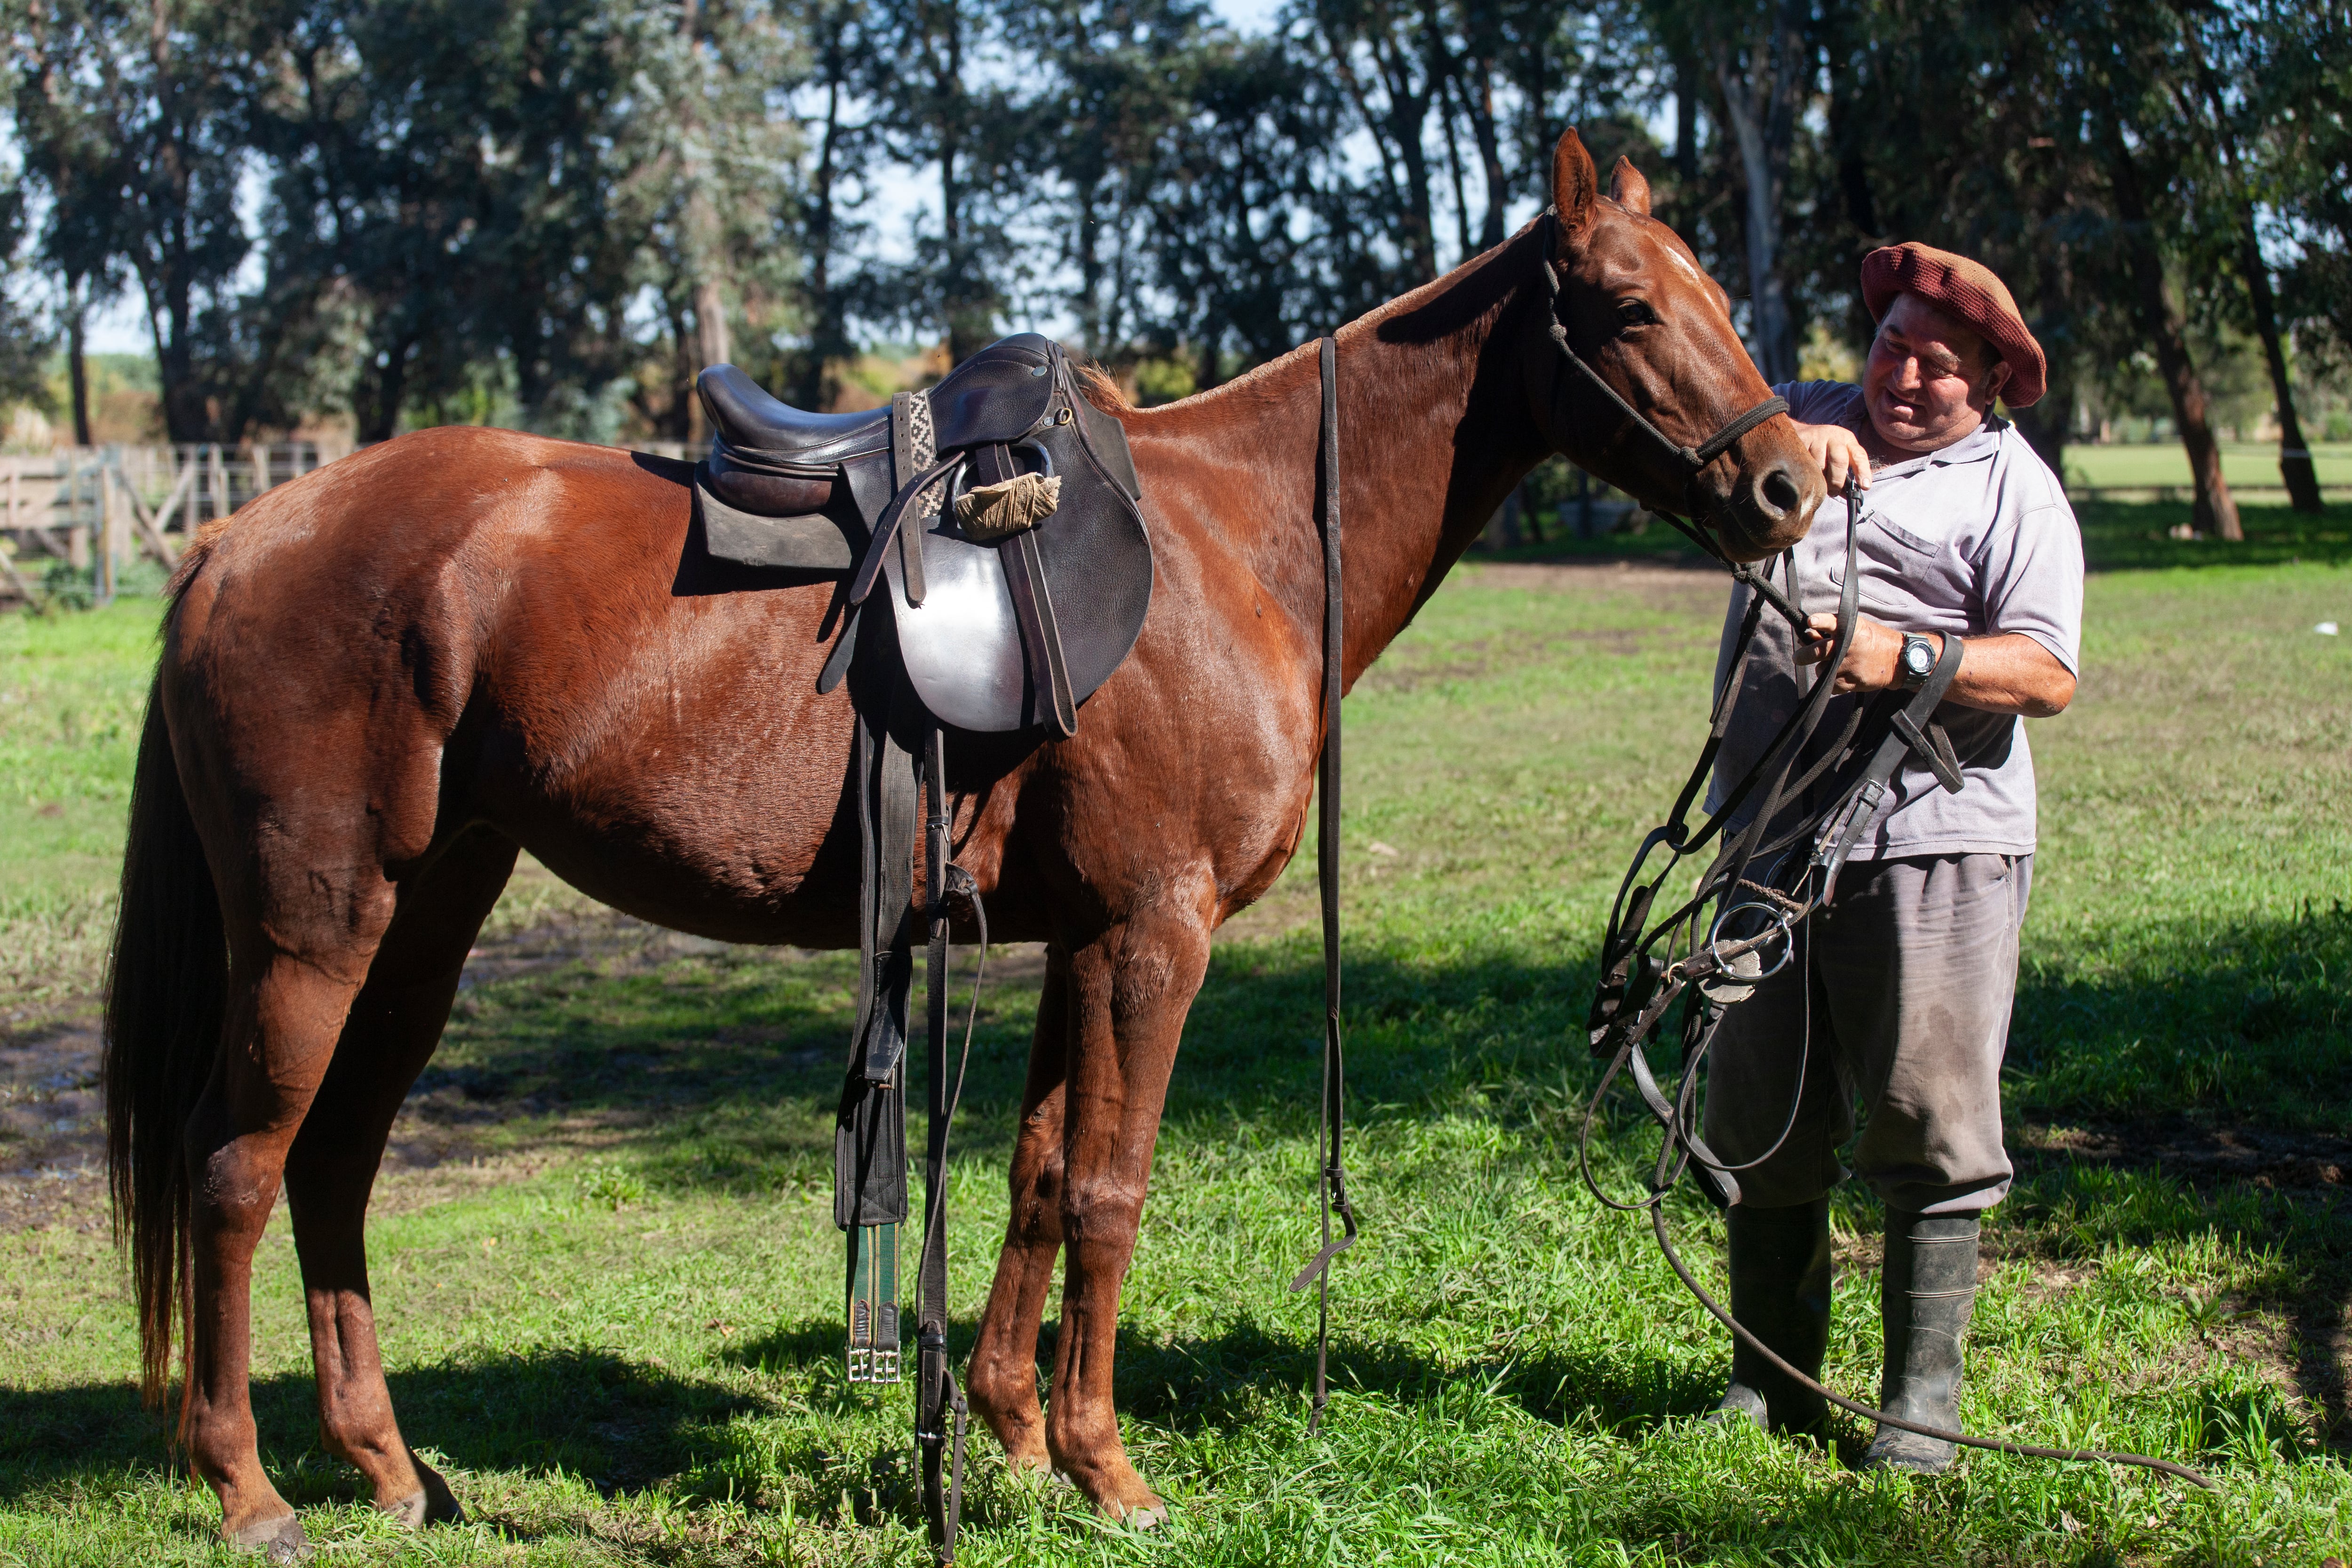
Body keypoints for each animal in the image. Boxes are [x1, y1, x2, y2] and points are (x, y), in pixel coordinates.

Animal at [102, 130, 1823, 1555]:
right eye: (1625, 307)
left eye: (1711, 290)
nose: (1792, 484)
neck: (1235, 537)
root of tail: (234, 537)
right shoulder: (1155, 927)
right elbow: (1116, 1186)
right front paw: (1111, 1468)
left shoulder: (1081, 933)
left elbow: (1042, 1174)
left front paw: (1012, 1437)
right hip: (315, 929)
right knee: (236, 1164)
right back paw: (247, 1488)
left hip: (426, 920)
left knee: (335, 1159)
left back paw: (390, 1467)